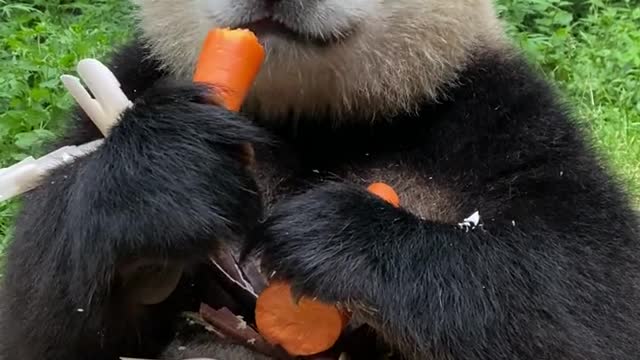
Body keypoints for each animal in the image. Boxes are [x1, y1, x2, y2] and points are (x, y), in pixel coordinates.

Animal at [1, 0, 640, 358]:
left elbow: (591, 301)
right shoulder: (139, 79)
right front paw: (169, 176)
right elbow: (35, 320)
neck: (314, 115)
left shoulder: (495, 112)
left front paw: (334, 237)